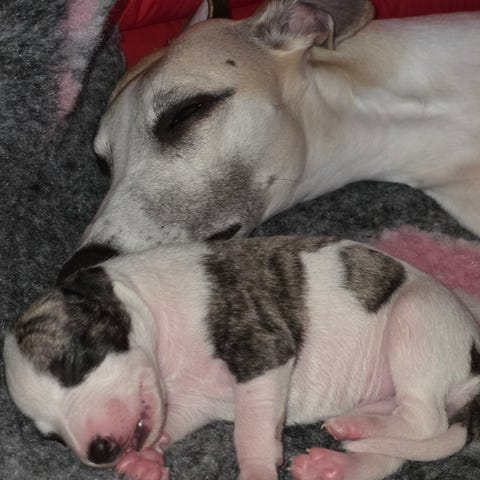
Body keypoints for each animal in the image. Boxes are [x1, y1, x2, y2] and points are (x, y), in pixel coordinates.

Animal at [5, 235, 480, 480]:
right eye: (51, 437)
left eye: (73, 364)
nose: (99, 452)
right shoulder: (191, 402)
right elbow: (169, 423)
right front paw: (144, 461)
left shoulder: (262, 351)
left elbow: (249, 432)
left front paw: (254, 470)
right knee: (394, 451)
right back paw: (337, 459)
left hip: (416, 320)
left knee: (424, 419)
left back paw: (355, 430)